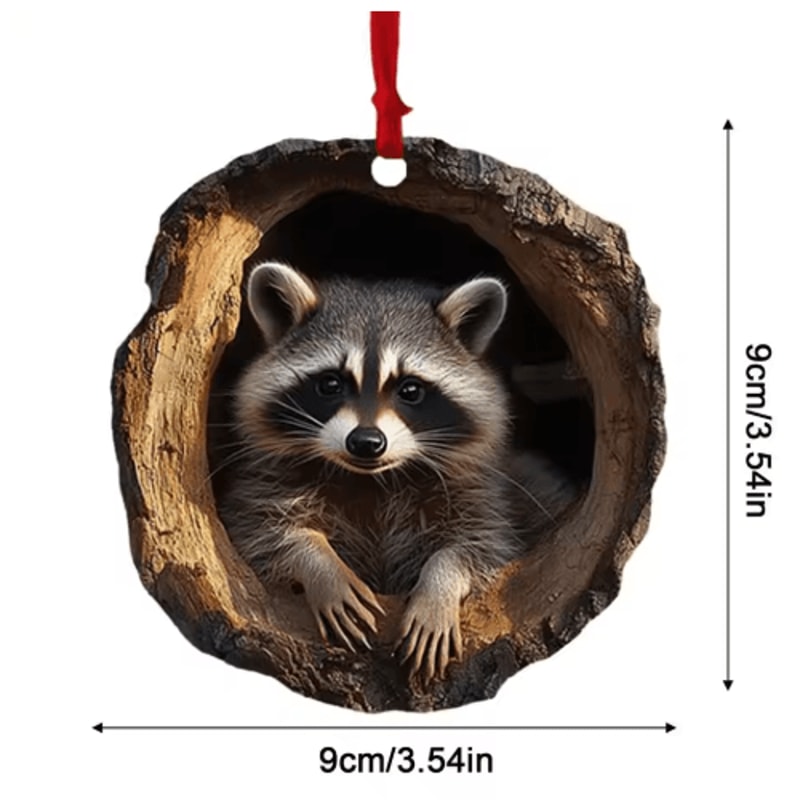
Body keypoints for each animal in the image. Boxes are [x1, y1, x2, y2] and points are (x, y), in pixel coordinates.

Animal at [215, 261, 575, 680]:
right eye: (330, 383)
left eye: (410, 390)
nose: (366, 442)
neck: (373, 479)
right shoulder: (265, 482)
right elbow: (259, 531)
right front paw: (319, 564)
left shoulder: (481, 494)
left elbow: (481, 547)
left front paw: (439, 586)